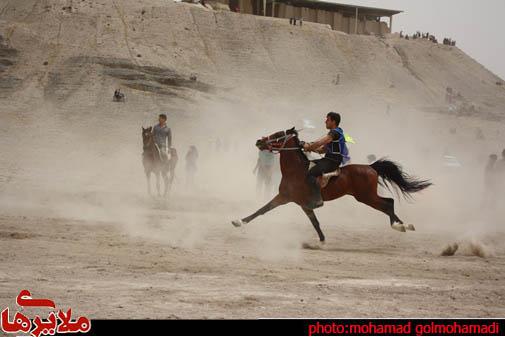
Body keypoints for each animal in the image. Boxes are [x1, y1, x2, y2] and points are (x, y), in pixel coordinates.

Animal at [230, 126, 432, 242]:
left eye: (278, 135)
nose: (259, 141)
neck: (295, 170)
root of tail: (370, 167)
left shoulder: (285, 197)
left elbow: (262, 210)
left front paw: (239, 221)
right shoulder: (301, 203)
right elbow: (314, 222)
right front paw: (321, 241)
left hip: (366, 197)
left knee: (388, 204)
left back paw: (399, 226)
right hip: (367, 196)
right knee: (389, 203)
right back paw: (405, 225)